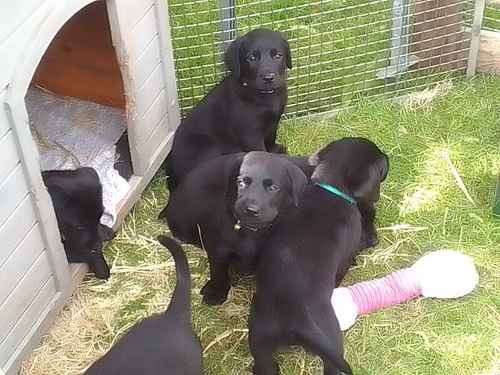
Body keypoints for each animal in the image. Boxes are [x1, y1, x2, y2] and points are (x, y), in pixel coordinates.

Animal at [160, 151, 310, 306]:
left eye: (273, 188)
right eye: (241, 183)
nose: (251, 210)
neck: (251, 232)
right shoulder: (219, 248)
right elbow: (218, 270)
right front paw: (216, 292)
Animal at [166, 28, 292, 191]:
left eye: (278, 55)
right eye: (251, 58)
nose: (268, 78)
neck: (264, 96)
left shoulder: (273, 122)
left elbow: (271, 138)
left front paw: (275, 151)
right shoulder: (250, 134)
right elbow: (259, 151)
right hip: (210, 147)